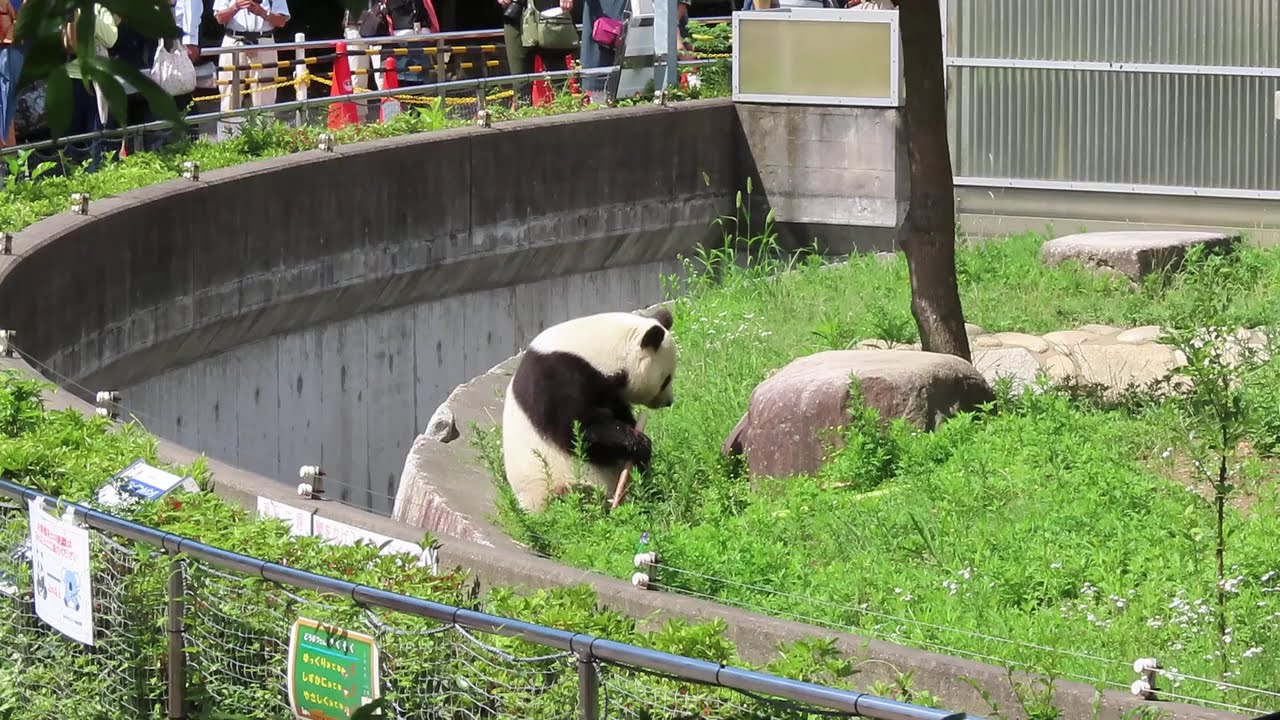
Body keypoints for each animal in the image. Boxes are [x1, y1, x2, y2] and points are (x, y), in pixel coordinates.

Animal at [501, 308, 677, 513]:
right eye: (666, 379)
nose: (669, 402)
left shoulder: (609, 391)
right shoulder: (558, 377)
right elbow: (577, 431)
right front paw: (639, 443)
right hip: (552, 484)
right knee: (578, 497)